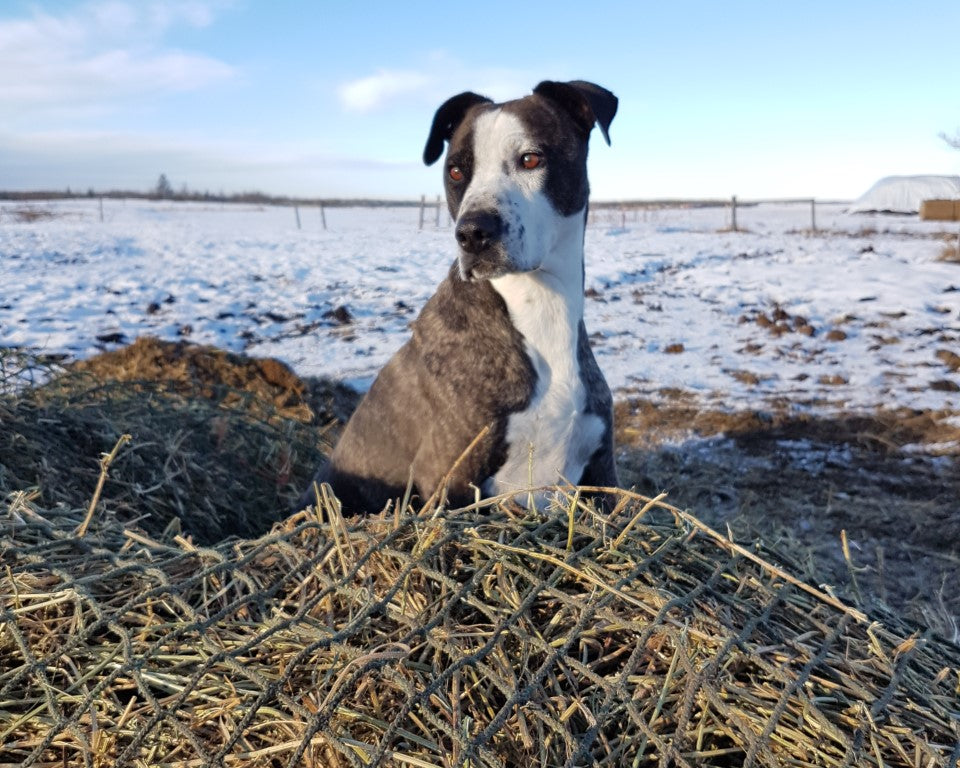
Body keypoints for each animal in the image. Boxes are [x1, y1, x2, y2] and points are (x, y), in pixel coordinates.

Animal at [308, 81, 624, 512]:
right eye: (456, 171)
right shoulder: (449, 476)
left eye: (530, 159)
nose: (473, 233)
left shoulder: (601, 473)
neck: (539, 307)